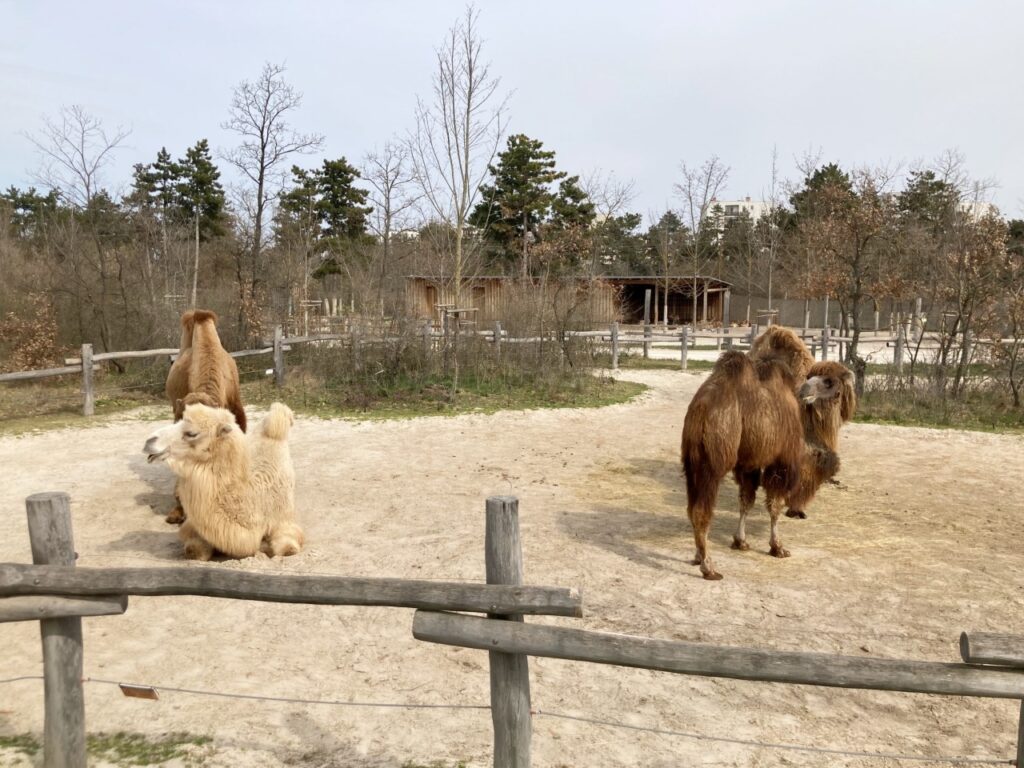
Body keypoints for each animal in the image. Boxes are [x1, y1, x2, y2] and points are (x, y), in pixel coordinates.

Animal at [684, 325, 819, 581]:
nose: (812, 392)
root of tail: (701, 410)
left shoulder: (749, 462)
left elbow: (746, 500)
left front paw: (741, 542)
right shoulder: (782, 459)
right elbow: (775, 504)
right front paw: (778, 547)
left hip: (691, 461)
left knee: (692, 504)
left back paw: (697, 556)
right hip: (714, 459)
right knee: (701, 509)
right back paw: (709, 566)